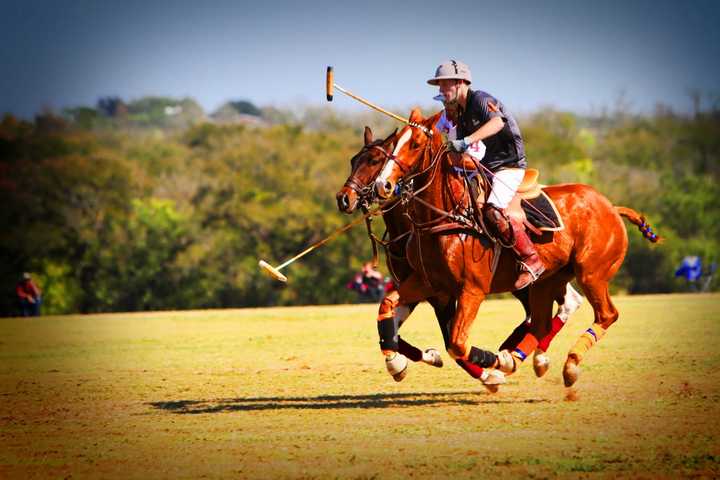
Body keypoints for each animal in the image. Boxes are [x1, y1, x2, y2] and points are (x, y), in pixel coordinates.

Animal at [338, 123, 584, 386]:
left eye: (374, 160)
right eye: (353, 160)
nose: (344, 198)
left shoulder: (443, 294)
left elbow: (450, 341)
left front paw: (486, 373)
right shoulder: (418, 286)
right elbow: (392, 329)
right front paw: (414, 360)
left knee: (555, 309)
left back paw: (518, 359)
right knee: (553, 309)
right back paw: (522, 356)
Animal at [372, 109, 660, 386]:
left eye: (416, 144)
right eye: (394, 144)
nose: (381, 185)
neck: (447, 217)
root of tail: (612, 207)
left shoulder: (471, 289)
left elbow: (457, 344)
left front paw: (491, 369)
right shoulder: (429, 283)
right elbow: (387, 305)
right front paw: (396, 363)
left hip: (592, 273)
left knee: (606, 315)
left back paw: (567, 364)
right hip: (547, 280)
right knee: (542, 323)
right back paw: (517, 358)